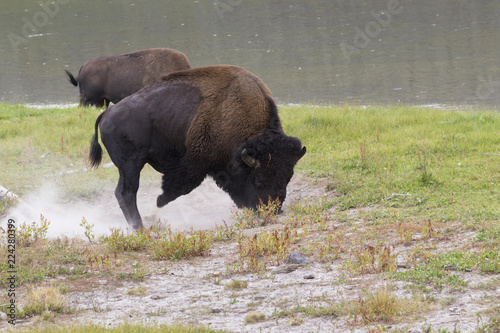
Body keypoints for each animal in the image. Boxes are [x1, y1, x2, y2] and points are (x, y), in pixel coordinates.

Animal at [89, 66, 304, 230]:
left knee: (121, 192)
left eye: (288, 178)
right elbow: (180, 186)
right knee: (128, 192)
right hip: (132, 165)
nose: (273, 210)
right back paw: (139, 227)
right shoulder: (195, 162)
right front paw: (160, 200)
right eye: (259, 181)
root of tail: (106, 114)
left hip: (127, 167)